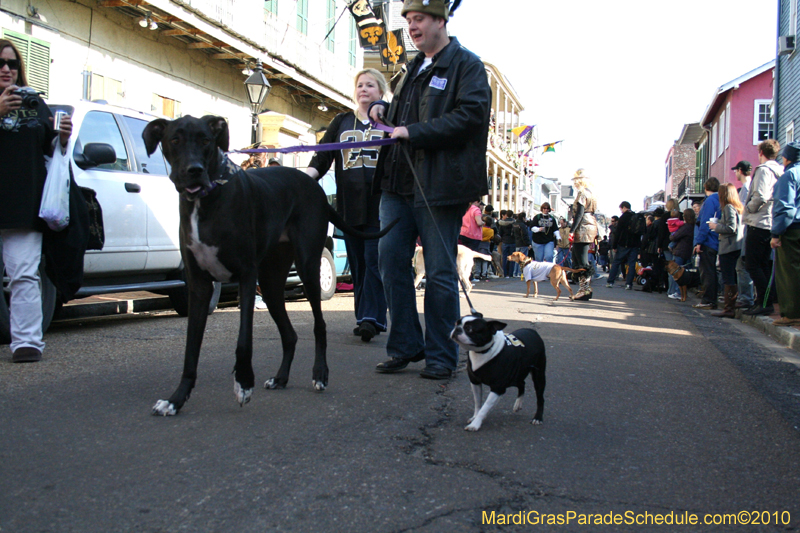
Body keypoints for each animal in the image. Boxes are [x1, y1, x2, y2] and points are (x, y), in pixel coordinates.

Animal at [145, 115, 396, 416]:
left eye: (205, 140)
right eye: (175, 139)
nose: (193, 170)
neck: (209, 198)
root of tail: (316, 189)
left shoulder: (245, 275)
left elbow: (244, 340)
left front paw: (243, 383)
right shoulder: (199, 286)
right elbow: (191, 349)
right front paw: (176, 399)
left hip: (307, 267)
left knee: (319, 325)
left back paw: (320, 374)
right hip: (271, 282)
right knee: (290, 335)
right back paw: (281, 377)